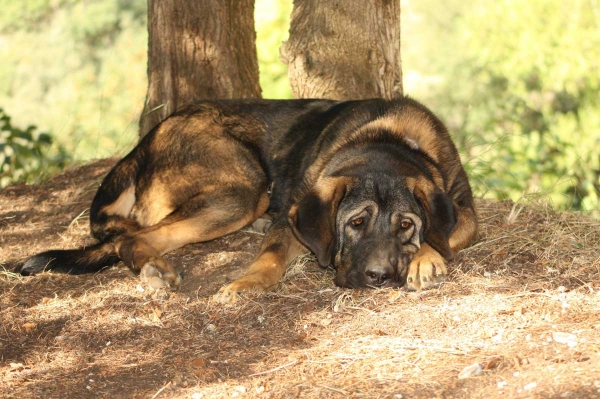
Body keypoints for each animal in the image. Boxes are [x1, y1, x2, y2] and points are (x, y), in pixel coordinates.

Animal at [19, 97, 478, 304]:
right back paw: (154, 268)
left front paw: (425, 260)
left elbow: (446, 234)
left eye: (406, 225)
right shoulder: (293, 218)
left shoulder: (465, 209)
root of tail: (146, 140)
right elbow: (271, 257)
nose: (379, 276)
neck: (389, 138)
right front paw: (247, 282)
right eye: (356, 223)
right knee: (131, 238)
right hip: (243, 191)